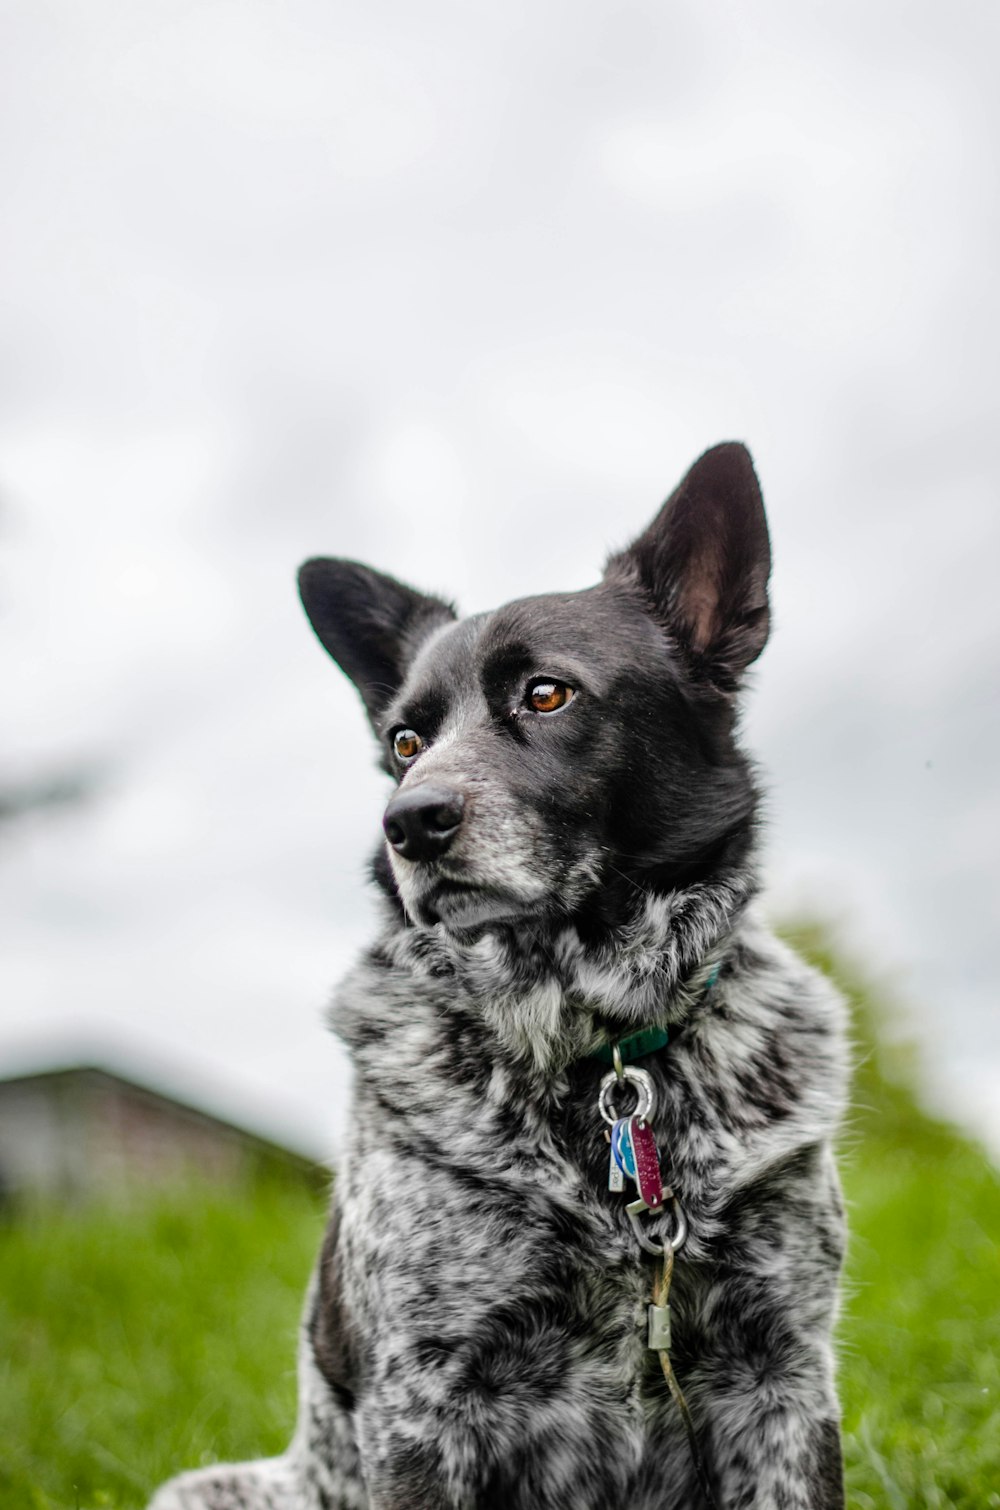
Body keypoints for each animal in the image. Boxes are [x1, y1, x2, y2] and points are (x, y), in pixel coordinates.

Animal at [151, 440, 851, 1510]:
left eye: (547, 694)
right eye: (405, 741)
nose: (409, 822)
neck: (596, 1038)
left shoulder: (782, 1376)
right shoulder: (424, 1401)